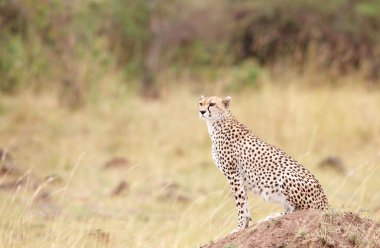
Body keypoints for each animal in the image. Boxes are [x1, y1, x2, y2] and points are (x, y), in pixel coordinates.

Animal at [199, 96, 330, 232]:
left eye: (212, 104)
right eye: (201, 103)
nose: (202, 111)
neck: (217, 123)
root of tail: (326, 203)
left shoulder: (233, 174)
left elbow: (240, 203)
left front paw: (239, 226)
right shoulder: (239, 177)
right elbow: (245, 202)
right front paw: (245, 225)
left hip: (285, 175)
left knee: (298, 210)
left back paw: (274, 215)